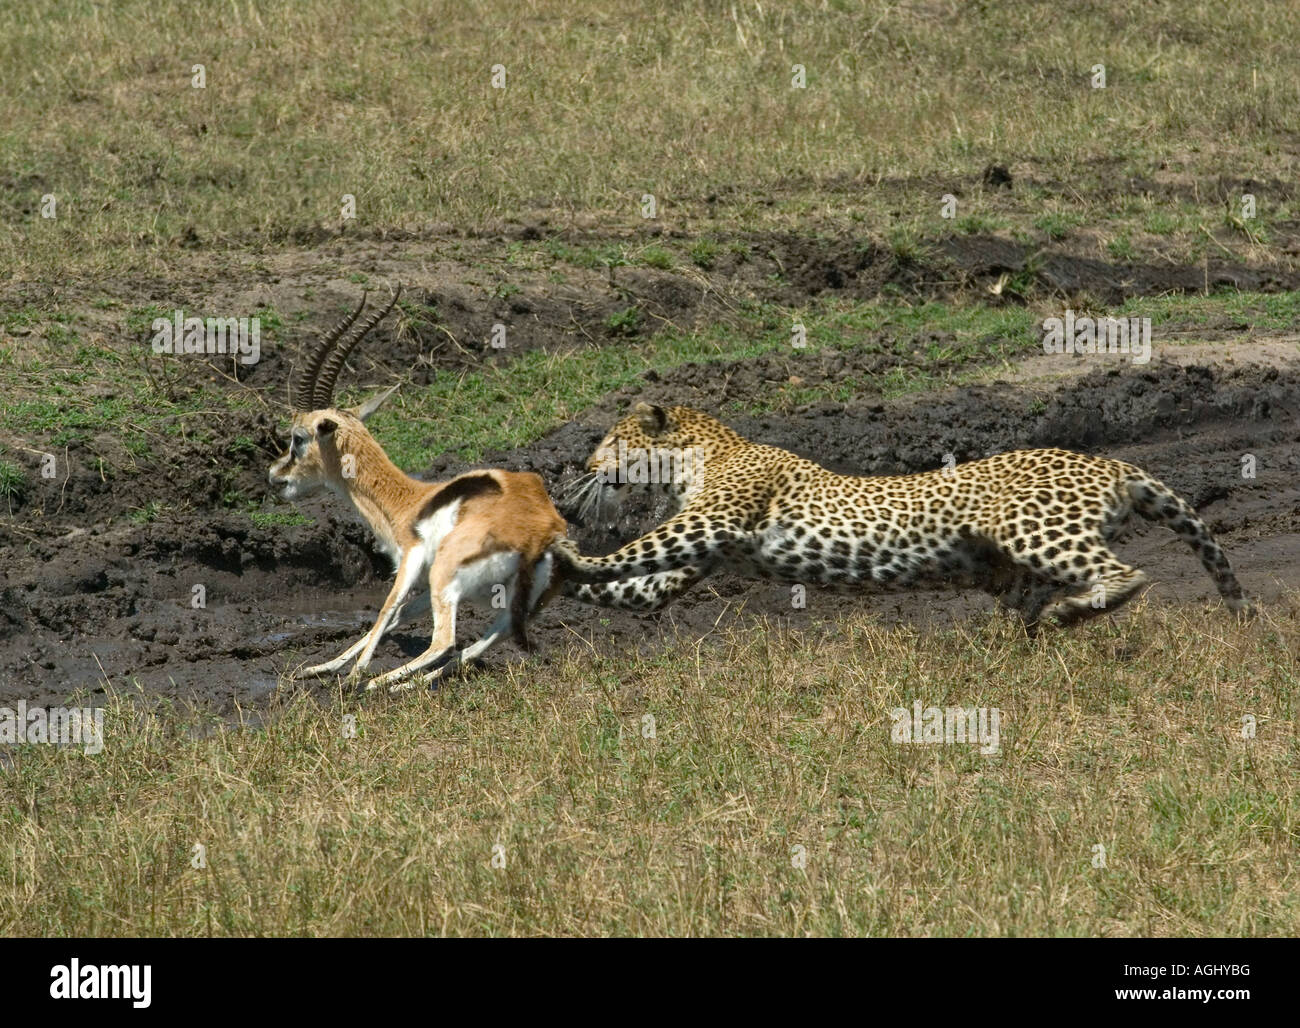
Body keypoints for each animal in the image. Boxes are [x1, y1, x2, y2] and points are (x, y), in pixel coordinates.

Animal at [553, 402, 1253, 626]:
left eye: (609, 440)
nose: (584, 462)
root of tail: (1113, 464)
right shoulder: (694, 557)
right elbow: (636, 587)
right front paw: (555, 581)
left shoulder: (709, 523)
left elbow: (628, 553)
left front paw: (564, 553)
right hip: (1012, 562)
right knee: (1033, 598)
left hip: (1032, 528)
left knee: (1128, 574)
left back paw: (1074, 613)